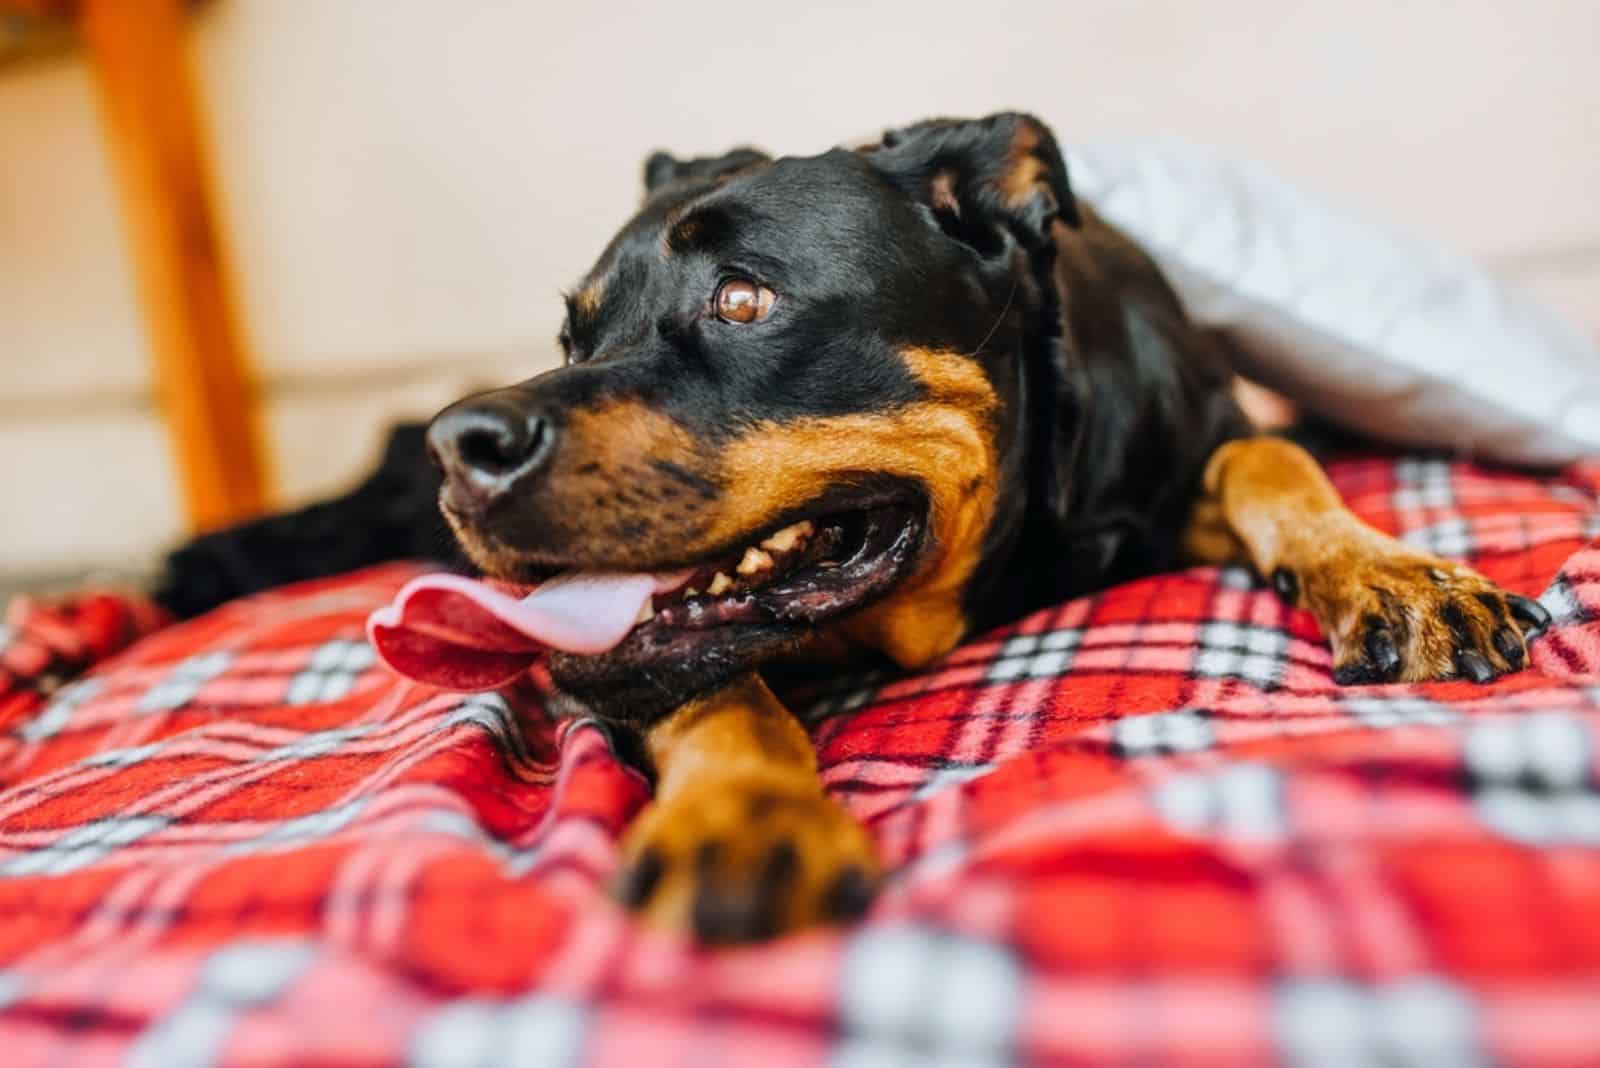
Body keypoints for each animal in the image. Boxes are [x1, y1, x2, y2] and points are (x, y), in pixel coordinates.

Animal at [159, 110, 1548, 940]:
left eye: (742, 299)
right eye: (572, 332)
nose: (470, 443)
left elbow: (1271, 452)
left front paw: (1395, 576)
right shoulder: (654, 649)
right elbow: (709, 682)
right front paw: (745, 815)